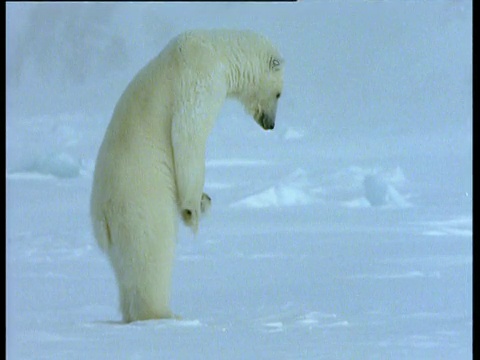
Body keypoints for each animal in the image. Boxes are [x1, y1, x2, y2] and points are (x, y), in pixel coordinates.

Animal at [89, 29, 284, 322]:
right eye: (280, 94)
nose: (270, 125)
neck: (220, 49)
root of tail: (103, 218)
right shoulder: (200, 77)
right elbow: (187, 135)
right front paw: (194, 209)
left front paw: (205, 200)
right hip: (142, 201)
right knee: (152, 251)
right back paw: (163, 314)